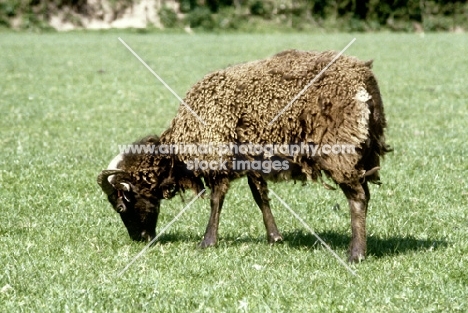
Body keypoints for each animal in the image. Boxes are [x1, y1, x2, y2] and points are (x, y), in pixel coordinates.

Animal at [98, 50, 392, 262]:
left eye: (121, 206)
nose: (140, 238)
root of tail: (363, 80)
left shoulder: (217, 156)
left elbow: (216, 199)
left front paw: (207, 241)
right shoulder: (251, 159)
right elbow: (259, 195)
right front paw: (275, 237)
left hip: (340, 148)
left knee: (357, 197)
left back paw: (356, 254)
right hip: (363, 149)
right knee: (364, 193)